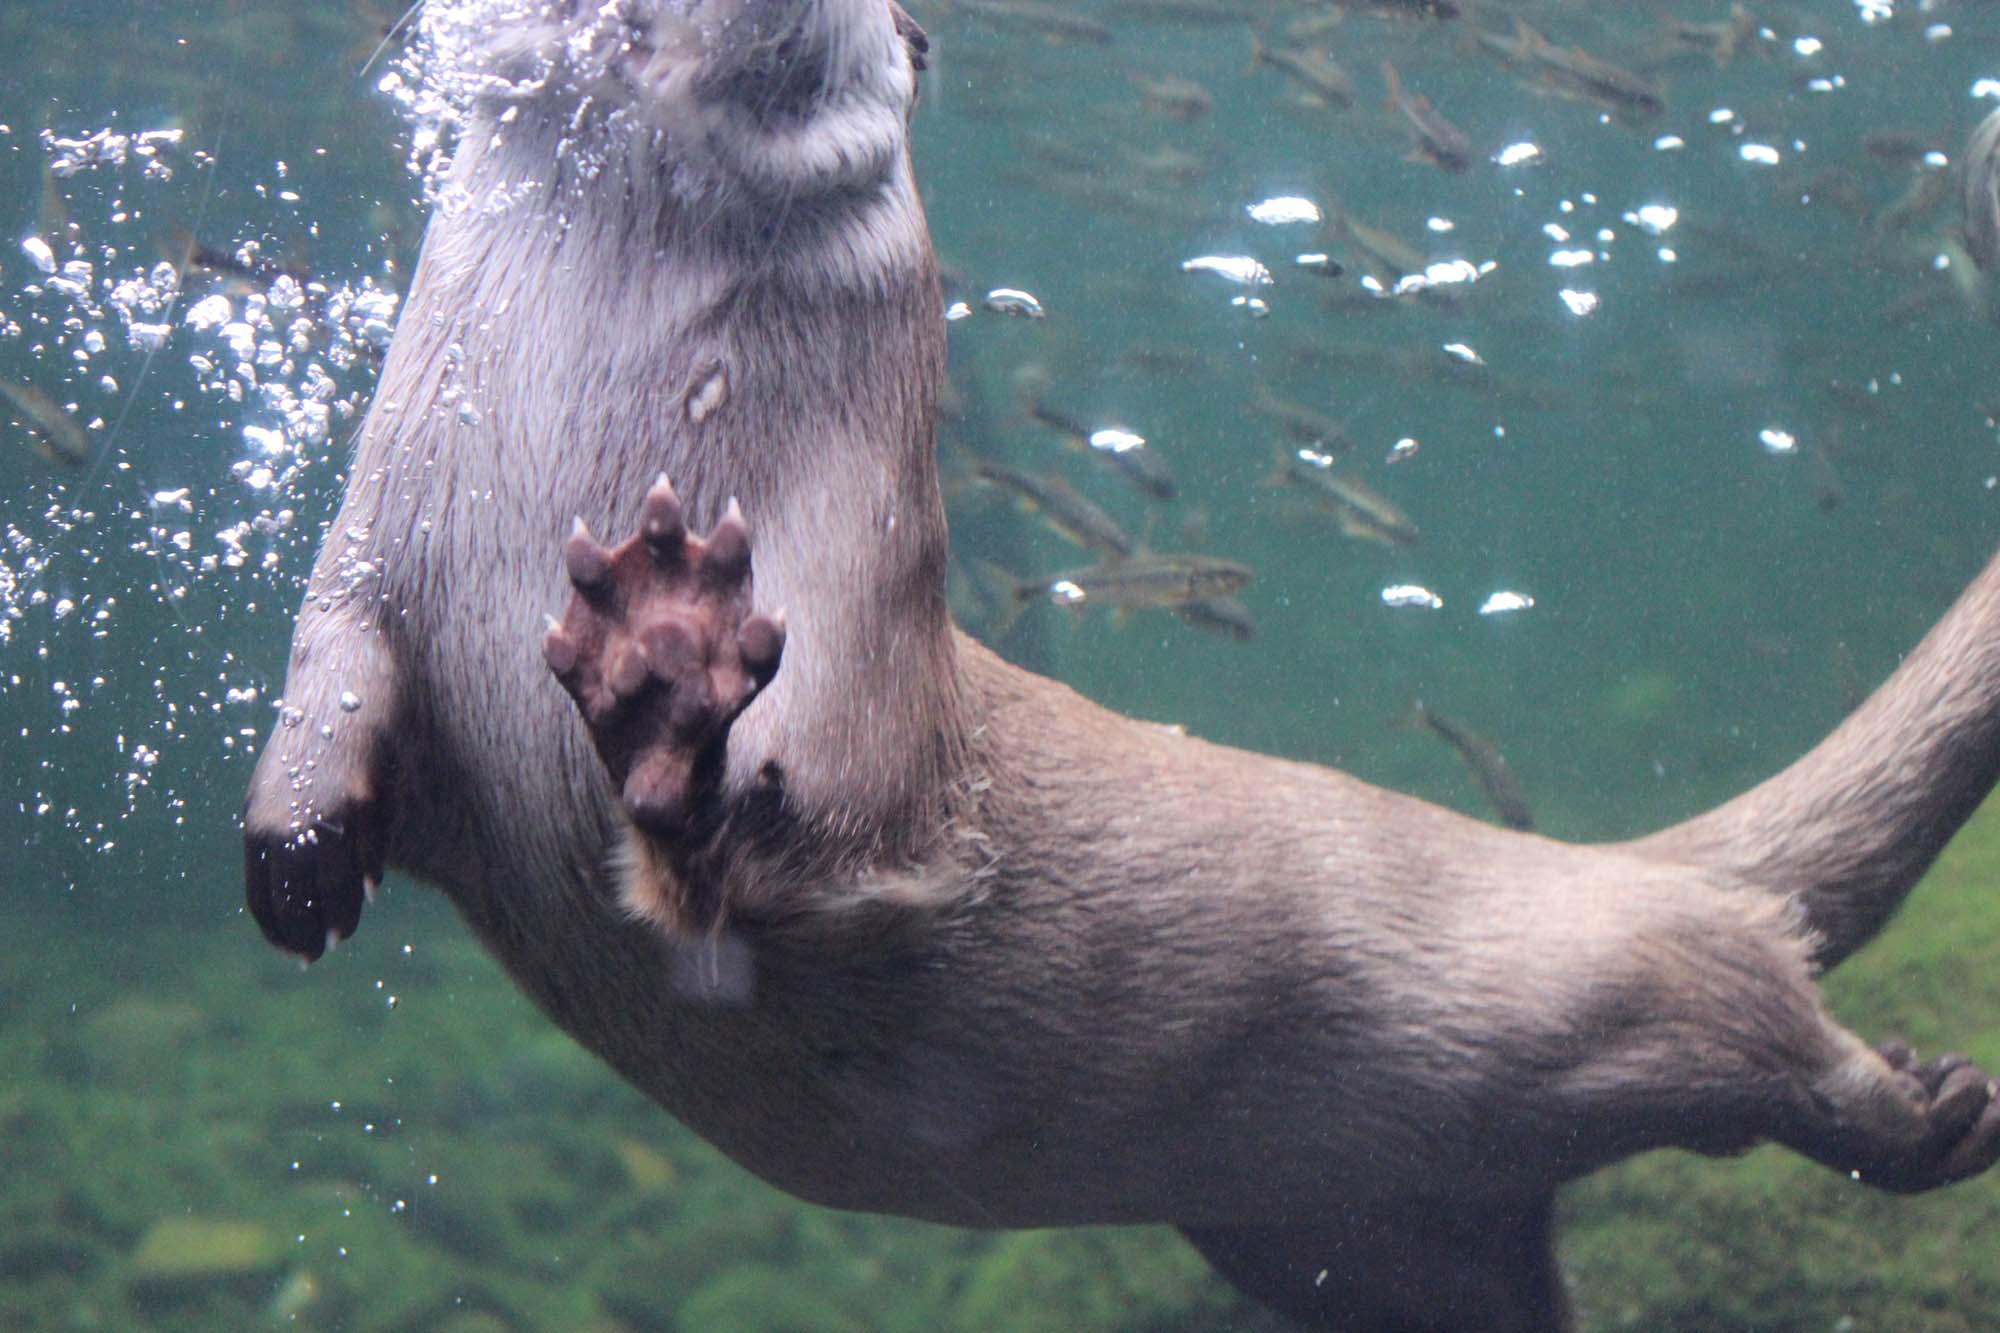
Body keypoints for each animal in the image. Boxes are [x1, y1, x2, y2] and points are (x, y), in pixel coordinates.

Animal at [242, 5, 1992, 1320]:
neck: (609, 433)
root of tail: (1602, 862)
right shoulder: (386, 539)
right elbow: (335, 672)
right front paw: (298, 861)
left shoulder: (860, 615)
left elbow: (821, 819)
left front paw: (667, 672)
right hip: (1361, 1234)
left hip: (1590, 985)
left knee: (1750, 1014)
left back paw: (1927, 1105)